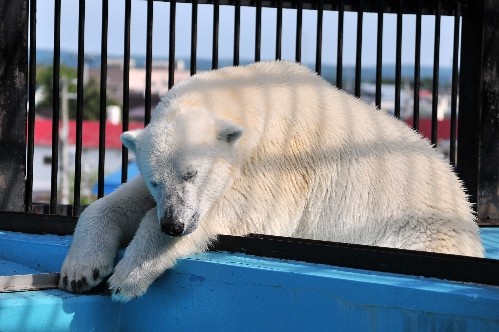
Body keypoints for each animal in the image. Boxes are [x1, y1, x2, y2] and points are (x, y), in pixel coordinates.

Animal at [58, 61, 484, 302]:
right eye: (155, 181)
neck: (257, 94)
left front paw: (124, 278)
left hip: (416, 231)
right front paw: (80, 271)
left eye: (192, 173)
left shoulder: (284, 160)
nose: (173, 224)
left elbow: (241, 209)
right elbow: (119, 203)